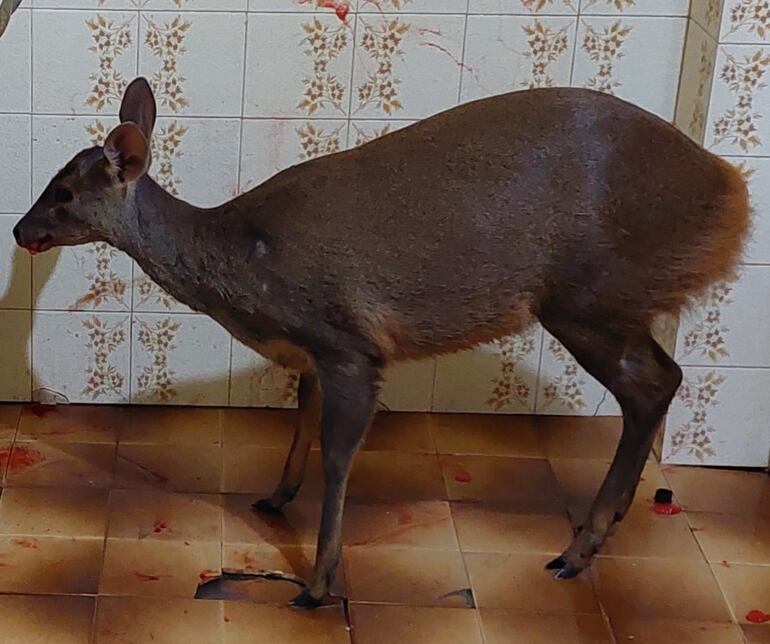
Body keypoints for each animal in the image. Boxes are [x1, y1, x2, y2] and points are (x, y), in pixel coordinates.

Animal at [12, 78, 744, 608]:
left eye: (64, 191)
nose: (20, 230)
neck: (244, 262)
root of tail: (731, 195)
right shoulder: (314, 351)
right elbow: (300, 415)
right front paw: (276, 496)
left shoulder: (349, 343)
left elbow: (340, 454)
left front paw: (316, 582)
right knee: (664, 377)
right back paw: (607, 524)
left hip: (588, 293)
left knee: (651, 384)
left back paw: (577, 548)